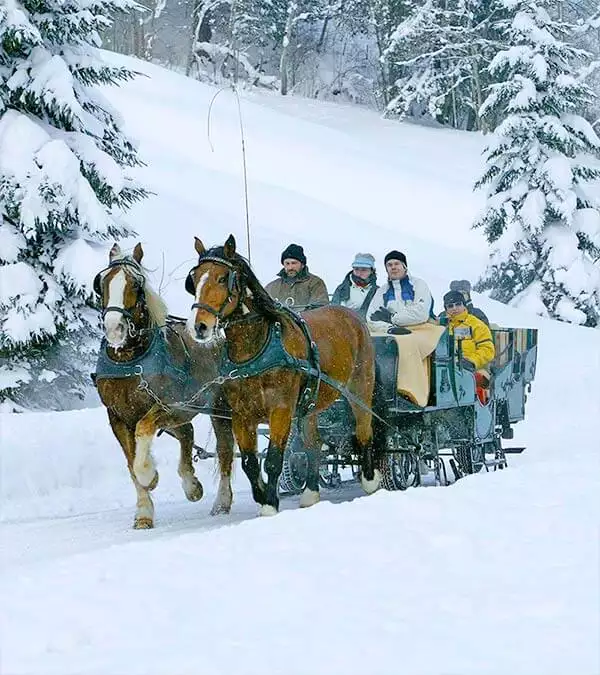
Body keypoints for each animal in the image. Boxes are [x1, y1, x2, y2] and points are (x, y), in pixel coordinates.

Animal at [94, 243, 234, 528]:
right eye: (101, 283)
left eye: (136, 285)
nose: (114, 329)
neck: (131, 360)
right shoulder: (117, 417)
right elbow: (131, 463)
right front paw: (144, 514)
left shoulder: (167, 406)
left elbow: (142, 438)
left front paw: (151, 475)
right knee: (187, 433)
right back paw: (192, 486)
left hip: (220, 408)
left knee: (224, 450)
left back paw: (219, 501)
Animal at [185, 235, 380, 516]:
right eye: (194, 278)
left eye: (223, 278)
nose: (199, 326)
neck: (256, 348)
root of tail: (352, 315)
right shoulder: (241, 414)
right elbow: (249, 462)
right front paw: (262, 496)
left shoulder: (280, 409)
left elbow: (274, 459)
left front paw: (269, 504)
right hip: (310, 404)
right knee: (313, 444)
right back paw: (310, 493)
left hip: (360, 388)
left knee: (364, 430)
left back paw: (370, 480)